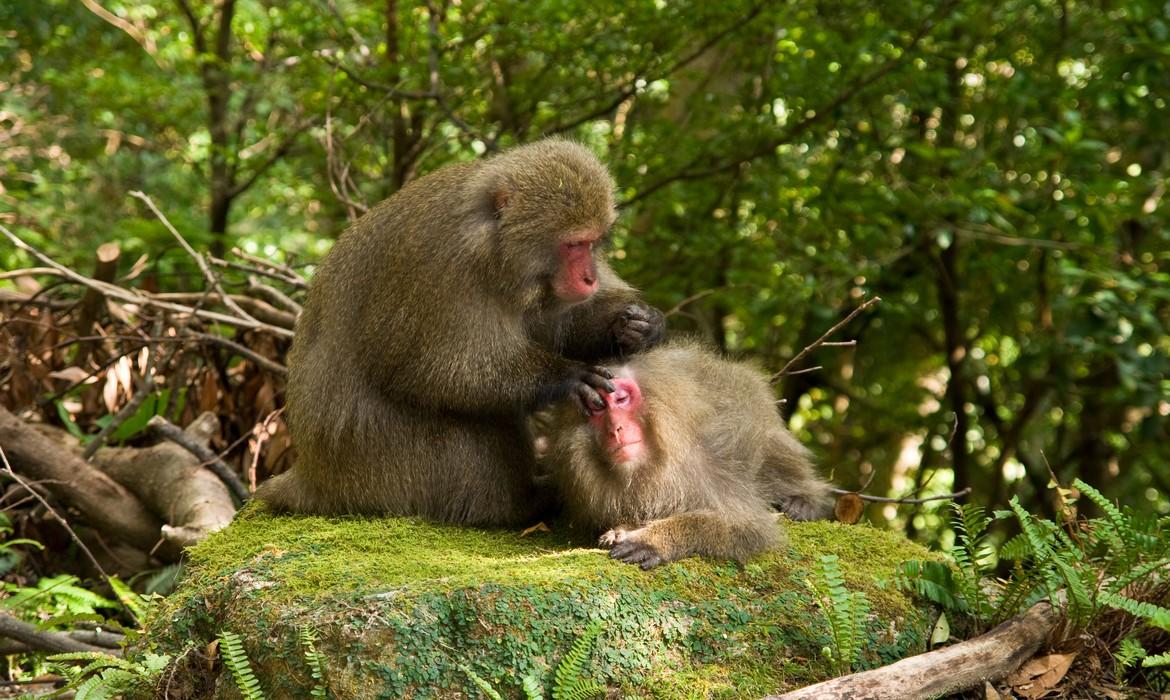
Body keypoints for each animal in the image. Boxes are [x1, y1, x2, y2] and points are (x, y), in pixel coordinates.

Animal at [256, 139, 665, 525]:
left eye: (592, 243)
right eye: (573, 245)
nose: (590, 277)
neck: (494, 252)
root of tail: (314, 476)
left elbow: (559, 329)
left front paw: (635, 325)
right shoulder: (440, 267)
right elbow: (436, 373)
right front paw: (566, 377)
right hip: (385, 470)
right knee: (476, 420)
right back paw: (519, 505)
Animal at [537, 340, 833, 569]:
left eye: (621, 400)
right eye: (598, 407)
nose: (615, 428)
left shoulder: (705, 465)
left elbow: (746, 526)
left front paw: (654, 539)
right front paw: (624, 529)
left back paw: (804, 500)